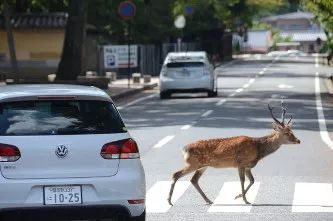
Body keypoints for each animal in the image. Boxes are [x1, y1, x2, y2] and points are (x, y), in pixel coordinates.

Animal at [167, 103, 300, 205]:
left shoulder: (247, 166)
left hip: (203, 166)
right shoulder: (241, 162)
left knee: (193, 180)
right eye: (286, 133)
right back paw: (169, 201)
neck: (258, 149)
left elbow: (252, 180)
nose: (298, 140)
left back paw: (208, 200)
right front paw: (245, 200)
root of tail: (184, 149)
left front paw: (239, 196)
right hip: (192, 163)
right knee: (176, 174)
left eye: (292, 131)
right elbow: (243, 181)